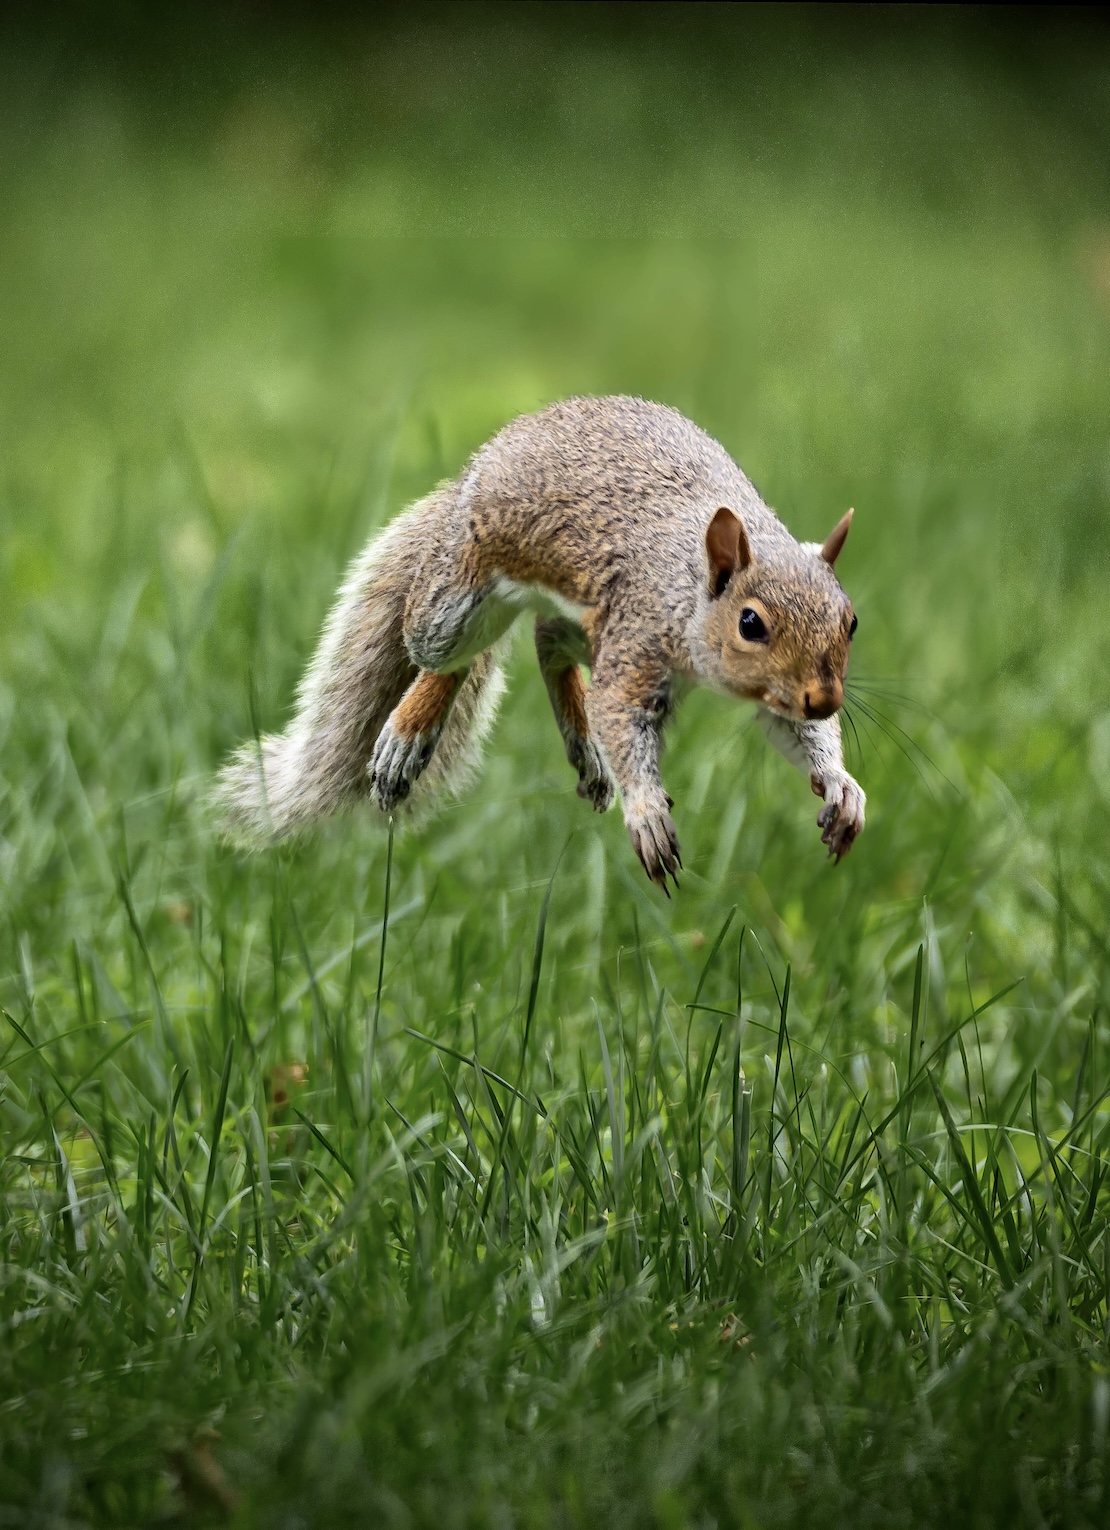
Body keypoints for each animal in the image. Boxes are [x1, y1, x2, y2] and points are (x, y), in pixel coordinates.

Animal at [214, 395, 865, 889]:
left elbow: (792, 731)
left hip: (580, 620)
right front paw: (646, 811)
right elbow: (620, 717)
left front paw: (840, 784)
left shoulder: (771, 692)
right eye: (751, 623)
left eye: (852, 620)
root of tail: (479, 467)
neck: (688, 584)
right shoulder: (635, 639)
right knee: (440, 653)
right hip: (457, 599)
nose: (825, 699)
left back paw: (580, 741)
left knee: (547, 640)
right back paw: (409, 732)